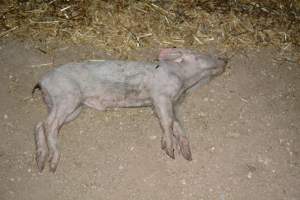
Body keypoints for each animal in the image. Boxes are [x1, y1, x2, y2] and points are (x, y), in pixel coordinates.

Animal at [32, 48, 225, 172]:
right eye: (201, 55)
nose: (225, 59)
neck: (184, 81)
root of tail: (42, 81)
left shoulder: (169, 104)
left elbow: (176, 125)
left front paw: (187, 155)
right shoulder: (160, 96)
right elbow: (167, 122)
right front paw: (170, 151)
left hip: (71, 108)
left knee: (40, 124)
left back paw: (40, 163)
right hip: (66, 99)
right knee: (49, 125)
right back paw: (52, 165)